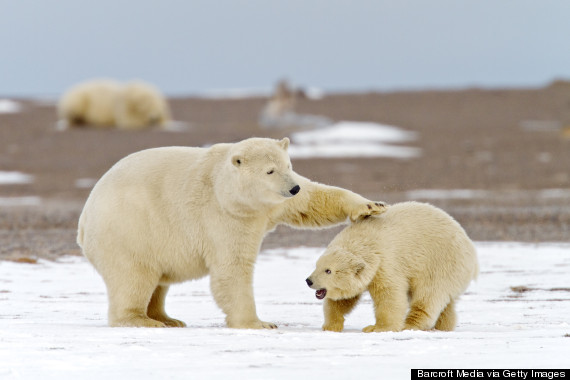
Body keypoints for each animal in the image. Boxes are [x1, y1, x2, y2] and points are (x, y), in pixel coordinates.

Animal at [76, 138, 386, 328]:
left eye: (288, 166)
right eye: (269, 171)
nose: (292, 187)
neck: (229, 190)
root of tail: (84, 219)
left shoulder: (273, 204)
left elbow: (314, 200)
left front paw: (370, 206)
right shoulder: (223, 216)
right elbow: (232, 268)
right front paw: (259, 323)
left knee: (158, 282)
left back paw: (168, 318)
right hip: (128, 232)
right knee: (135, 278)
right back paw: (142, 320)